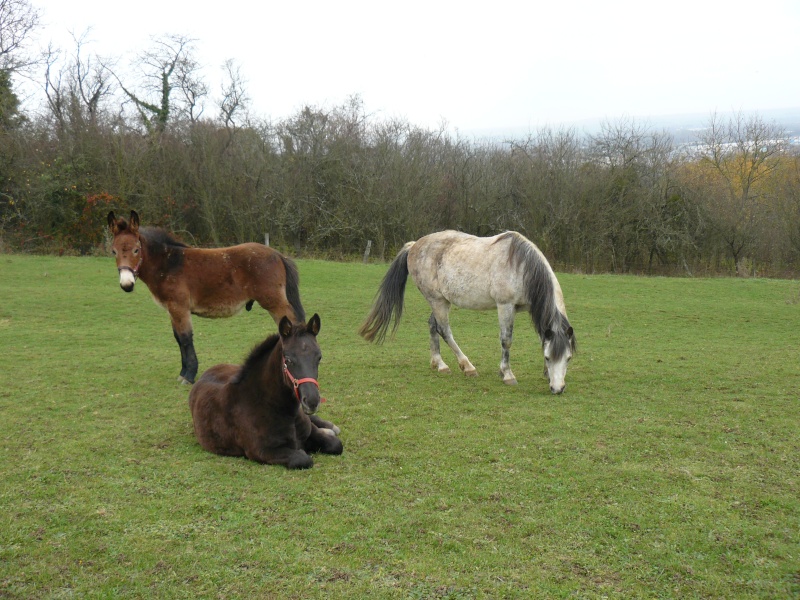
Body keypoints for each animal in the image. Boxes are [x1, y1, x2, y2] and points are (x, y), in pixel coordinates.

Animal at [108, 209, 304, 382]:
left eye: (136, 250)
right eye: (114, 251)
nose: (126, 284)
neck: (169, 264)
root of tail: (277, 254)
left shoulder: (179, 308)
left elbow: (185, 339)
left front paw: (188, 376)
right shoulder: (172, 310)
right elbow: (178, 339)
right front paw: (183, 372)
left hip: (275, 303)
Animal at [189, 314, 342, 468]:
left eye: (319, 357)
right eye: (288, 359)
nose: (312, 401)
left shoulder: (310, 431)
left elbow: (336, 445)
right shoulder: (262, 451)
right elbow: (303, 458)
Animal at [358, 230, 576, 394]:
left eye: (568, 358)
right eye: (548, 358)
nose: (558, 389)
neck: (521, 268)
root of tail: (414, 245)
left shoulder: (533, 307)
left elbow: (542, 339)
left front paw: (546, 374)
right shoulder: (505, 306)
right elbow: (506, 340)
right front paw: (507, 374)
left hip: (441, 301)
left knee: (432, 326)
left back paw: (439, 364)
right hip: (438, 301)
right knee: (444, 330)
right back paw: (467, 367)